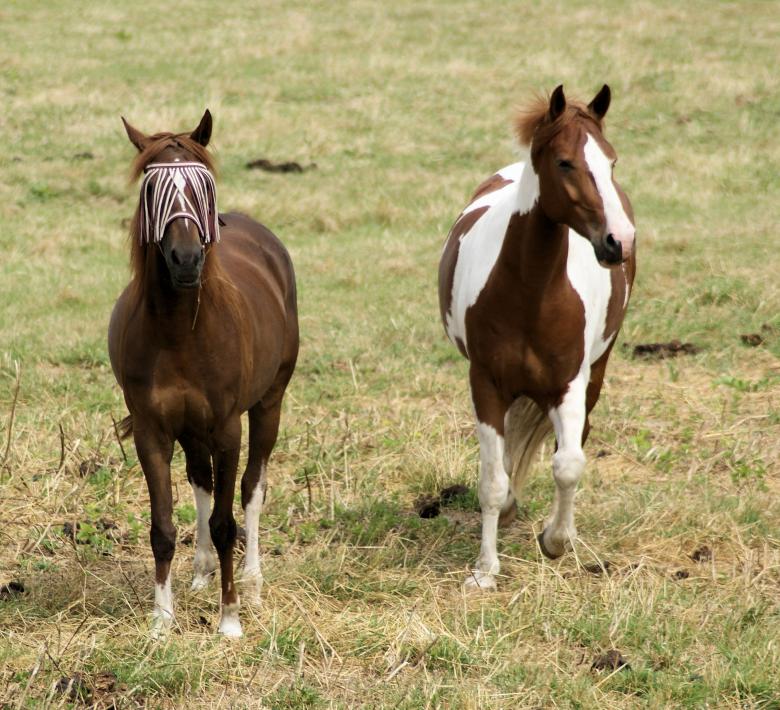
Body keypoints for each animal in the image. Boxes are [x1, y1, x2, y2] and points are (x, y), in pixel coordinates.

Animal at [108, 110, 299, 637]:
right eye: (151, 189)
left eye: (204, 185)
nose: (186, 258)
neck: (179, 332)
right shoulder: (152, 431)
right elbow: (163, 526)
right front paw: (161, 620)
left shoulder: (227, 428)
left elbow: (226, 521)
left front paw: (229, 618)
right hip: (191, 430)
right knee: (201, 484)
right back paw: (200, 573)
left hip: (269, 403)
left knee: (253, 487)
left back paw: (251, 584)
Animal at [438, 85, 636, 590]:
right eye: (565, 162)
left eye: (611, 161)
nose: (619, 241)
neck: (531, 292)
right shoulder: (486, 384)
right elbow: (492, 481)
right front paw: (485, 571)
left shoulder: (569, 384)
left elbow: (568, 465)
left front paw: (556, 540)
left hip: (597, 371)